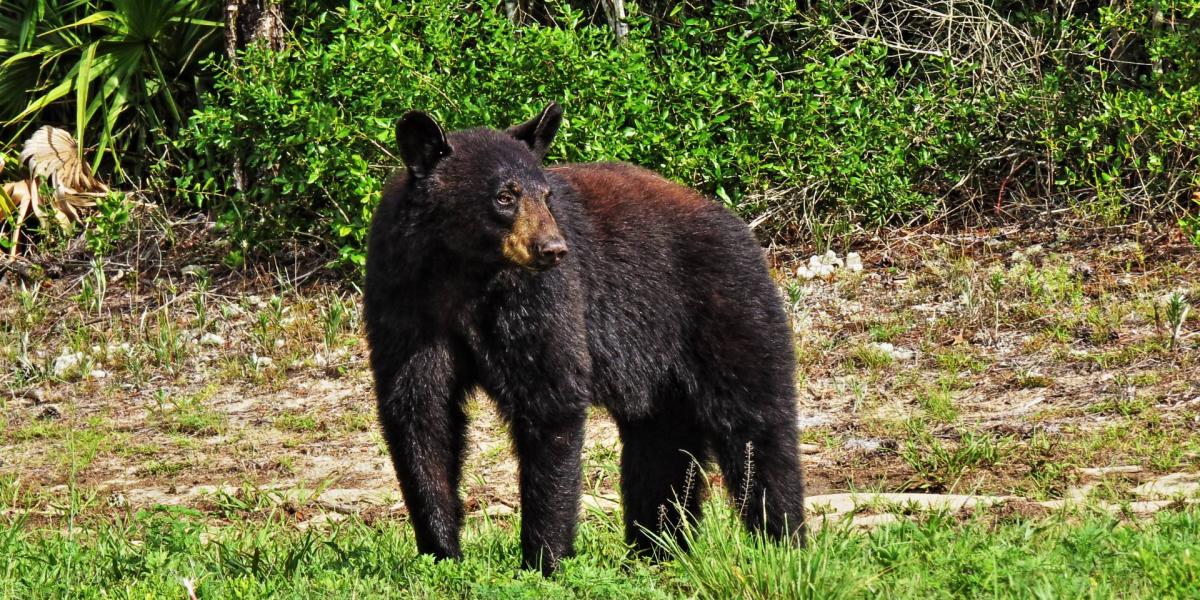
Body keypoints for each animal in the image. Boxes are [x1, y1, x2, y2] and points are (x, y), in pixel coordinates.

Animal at [364, 104, 806, 576]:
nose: (553, 248)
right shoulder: (404, 299)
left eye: (546, 195)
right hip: (661, 371)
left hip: (724, 308)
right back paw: (656, 548)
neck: (462, 270)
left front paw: (544, 559)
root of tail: (739, 227)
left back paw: (781, 540)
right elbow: (419, 410)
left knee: (755, 424)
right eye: (505, 196)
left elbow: (550, 398)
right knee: (660, 446)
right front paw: (441, 551)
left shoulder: (541, 299)